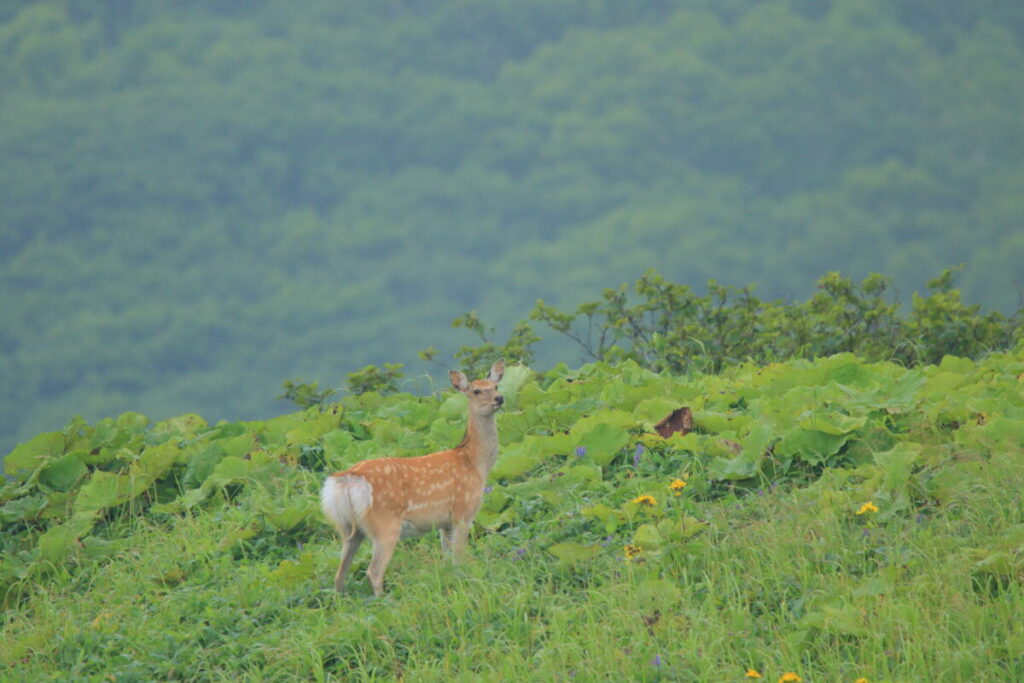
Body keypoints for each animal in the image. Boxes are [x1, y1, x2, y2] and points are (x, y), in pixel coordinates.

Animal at [321, 360, 505, 593]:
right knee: (374, 571)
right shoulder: (463, 511)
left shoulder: (444, 523)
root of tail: (347, 479)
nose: (499, 398)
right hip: (384, 523)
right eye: (476, 390)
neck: (474, 464)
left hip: (346, 526)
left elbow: (447, 560)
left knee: (339, 574)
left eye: (496, 386)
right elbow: (459, 559)